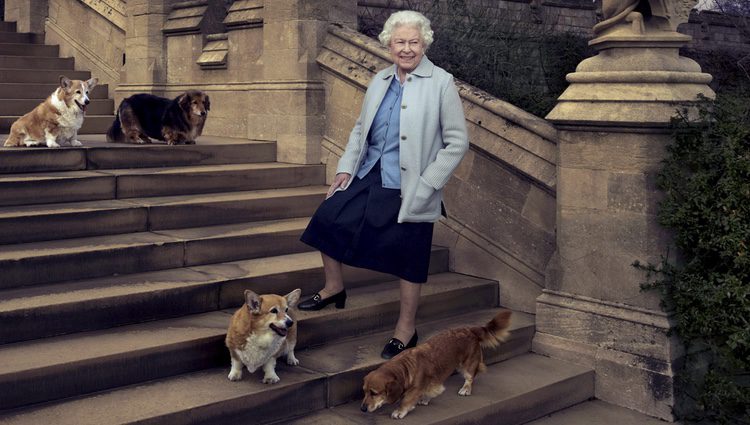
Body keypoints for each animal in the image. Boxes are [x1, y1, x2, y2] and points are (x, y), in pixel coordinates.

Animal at [362, 308, 516, 418]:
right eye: (364, 391)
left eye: (374, 393)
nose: (362, 409)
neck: (405, 367)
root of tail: (470, 329)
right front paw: (424, 398)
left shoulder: (416, 388)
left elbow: (407, 399)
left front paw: (400, 411)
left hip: (467, 365)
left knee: (470, 377)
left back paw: (466, 389)